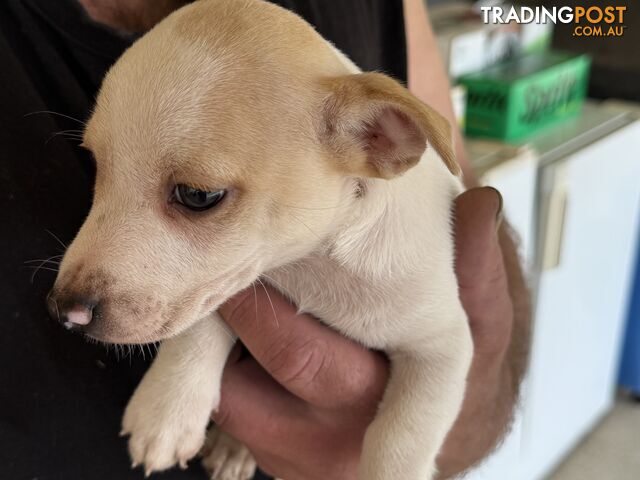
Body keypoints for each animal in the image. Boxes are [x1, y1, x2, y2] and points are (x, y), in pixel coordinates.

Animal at [47, 0, 472, 480]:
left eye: (198, 196)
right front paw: (167, 408)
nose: (62, 309)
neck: (311, 267)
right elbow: (198, 321)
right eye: (98, 166)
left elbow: (401, 439)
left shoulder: (441, 348)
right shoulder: (221, 284)